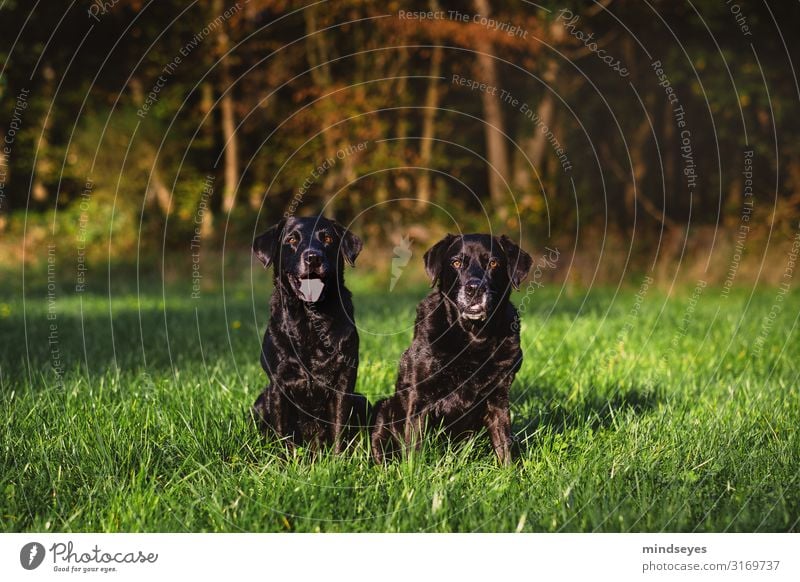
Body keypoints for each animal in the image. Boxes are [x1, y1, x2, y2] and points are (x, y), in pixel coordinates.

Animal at [248, 217, 370, 454]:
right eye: (292, 239)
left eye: (328, 238)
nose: (313, 257)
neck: (310, 320)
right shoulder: (278, 385)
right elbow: (282, 432)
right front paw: (284, 460)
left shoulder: (343, 382)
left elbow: (339, 429)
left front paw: (338, 459)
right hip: (259, 403)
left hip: (361, 400)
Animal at [368, 233, 532, 466]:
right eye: (456, 263)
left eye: (493, 263)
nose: (474, 288)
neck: (473, 337)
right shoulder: (419, 397)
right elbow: (414, 448)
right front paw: (412, 473)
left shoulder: (498, 398)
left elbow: (504, 446)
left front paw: (510, 473)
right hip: (384, 409)